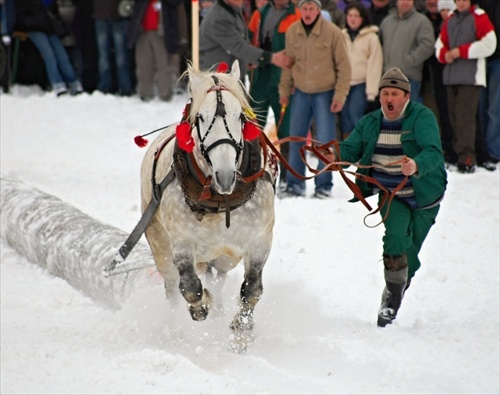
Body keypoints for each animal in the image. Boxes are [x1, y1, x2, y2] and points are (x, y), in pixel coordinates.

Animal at [141, 62, 278, 352]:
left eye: (240, 117)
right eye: (201, 118)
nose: (224, 176)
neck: (221, 199)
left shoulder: (260, 240)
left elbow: (252, 289)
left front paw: (241, 331)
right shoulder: (181, 243)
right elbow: (190, 287)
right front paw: (201, 305)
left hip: (224, 255)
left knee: (219, 276)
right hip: (160, 244)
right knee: (172, 287)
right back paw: (177, 330)